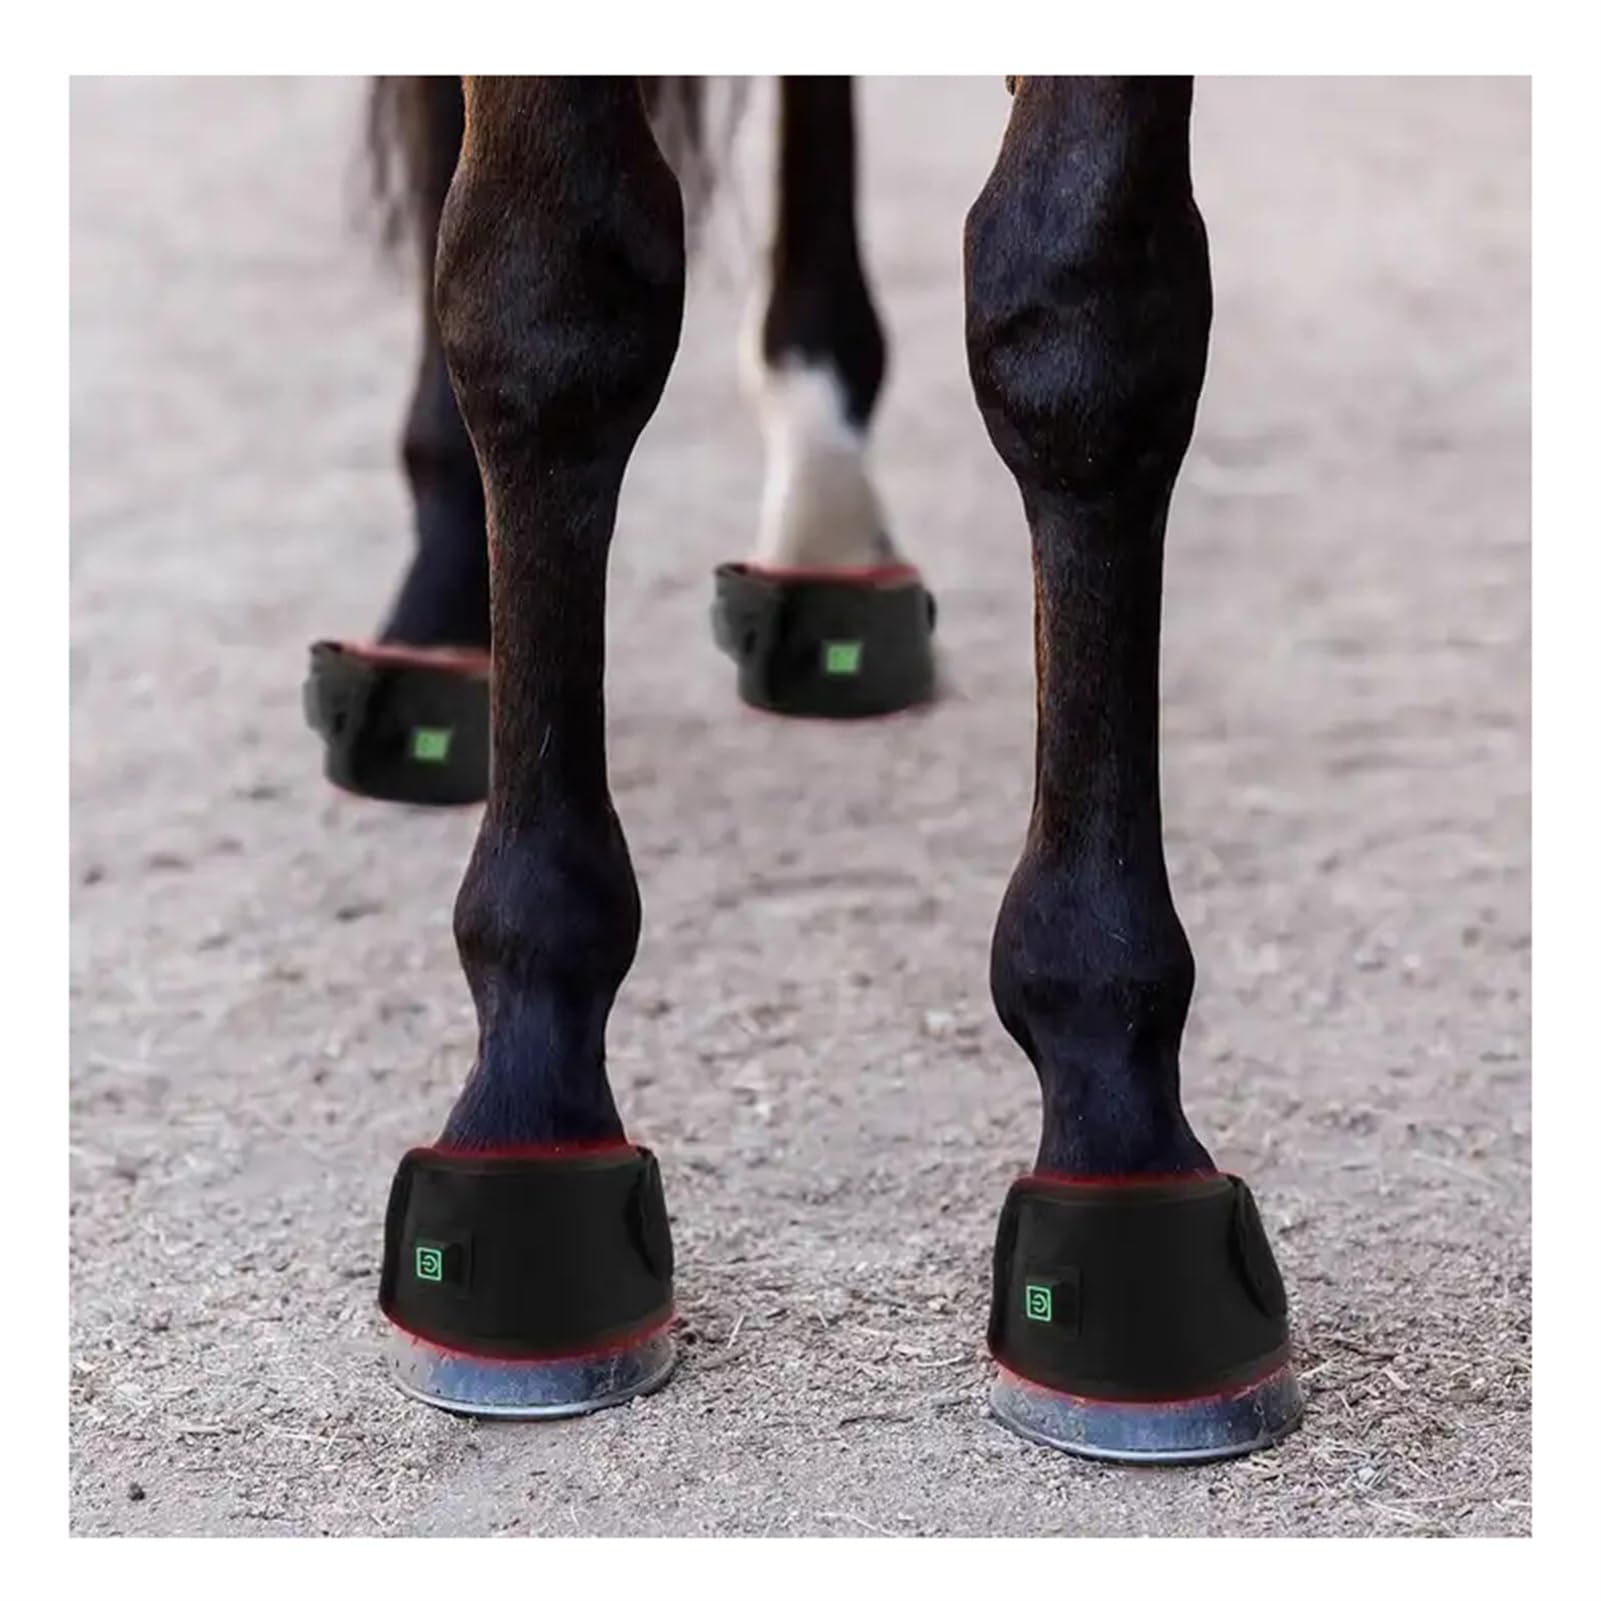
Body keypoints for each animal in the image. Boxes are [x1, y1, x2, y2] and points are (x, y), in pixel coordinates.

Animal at [306, 75, 1304, 1465]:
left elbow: (1087, 310)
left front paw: (1115, 1115)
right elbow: (545, 290)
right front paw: (528, 1097)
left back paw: (827, 530)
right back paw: (438, 610)